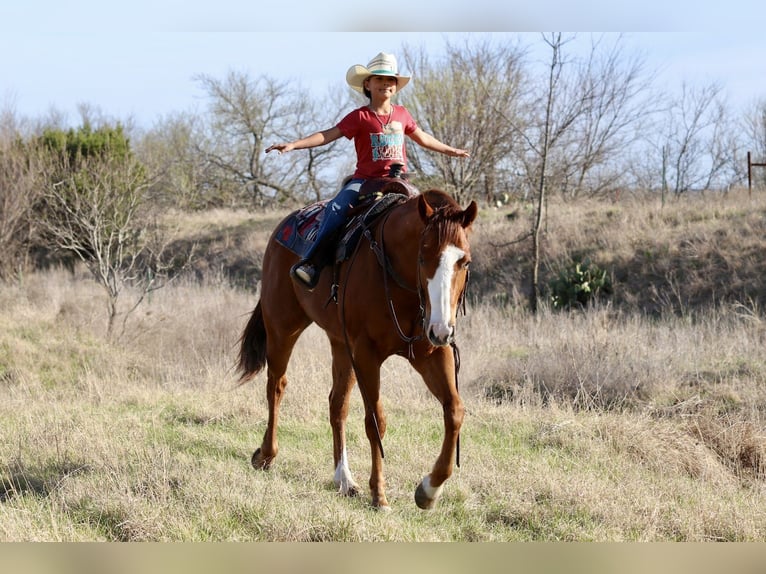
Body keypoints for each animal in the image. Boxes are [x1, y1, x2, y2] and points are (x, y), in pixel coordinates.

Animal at [237, 185, 478, 510]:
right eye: (423, 256)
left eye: (464, 261)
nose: (443, 329)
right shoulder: (366, 355)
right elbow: (376, 421)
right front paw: (379, 494)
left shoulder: (432, 352)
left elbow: (454, 411)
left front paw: (429, 490)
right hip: (282, 327)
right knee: (276, 385)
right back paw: (266, 454)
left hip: (340, 345)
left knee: (337, 404)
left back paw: (344, 478)